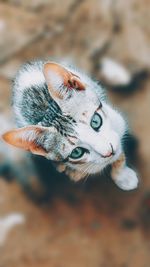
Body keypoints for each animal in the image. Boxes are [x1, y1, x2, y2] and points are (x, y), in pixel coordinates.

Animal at [2, 60, 138, 191]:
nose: (109, 152)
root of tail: (21, 71)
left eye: (95, 121)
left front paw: (122, 175)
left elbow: (119, 152)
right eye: (76, 152)